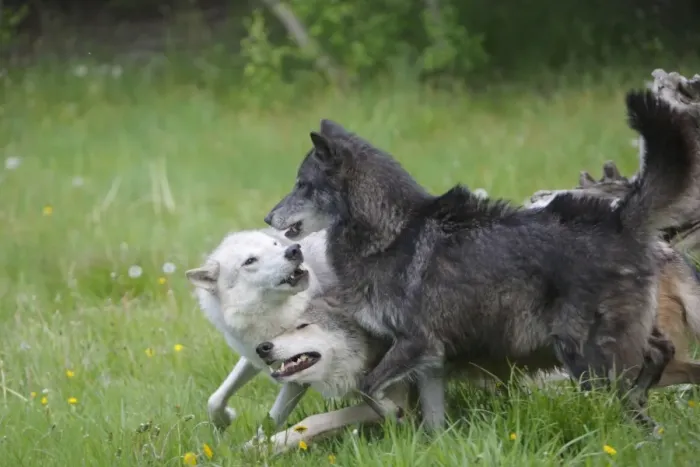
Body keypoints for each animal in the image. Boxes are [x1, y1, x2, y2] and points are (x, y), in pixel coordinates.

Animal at [185, 228, 336, 432]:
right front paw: (225, 420)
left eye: (275, 245)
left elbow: (270, 424)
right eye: (250, 261)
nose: (294, 250)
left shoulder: (298, 376)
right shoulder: (256, 358)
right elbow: (215, 399)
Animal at [264, 89, 699, 432]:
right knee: (660, 355)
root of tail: (620, 218)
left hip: (586, 361)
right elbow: (430, 421)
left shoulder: (414, 343)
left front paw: (391, 415)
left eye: (302, 185)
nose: (268, 218)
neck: (392, 235)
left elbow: (369, 389)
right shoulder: (430, 359)